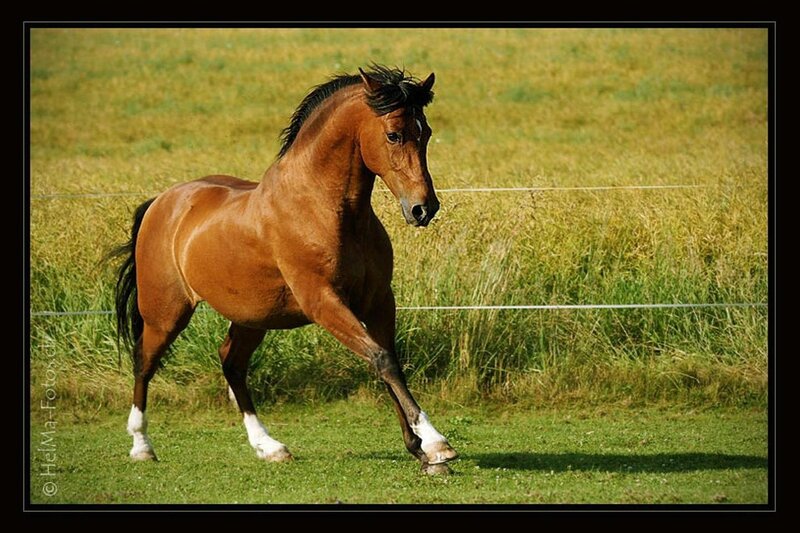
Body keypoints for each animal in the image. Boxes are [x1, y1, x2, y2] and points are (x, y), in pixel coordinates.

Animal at [111, 65, 458, 474]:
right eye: (394, 134)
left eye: (427, 132)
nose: (424, 208)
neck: (323, 208)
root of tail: (162, 203)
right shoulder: (323, 302)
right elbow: (381, 359)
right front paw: (436, 444)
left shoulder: (377, 301)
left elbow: (390, 362)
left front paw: (421, 451)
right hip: (166, 314)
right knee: (144, 363)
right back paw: (141, 446)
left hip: (251, 317)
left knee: (232, 363)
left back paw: (269, 447)